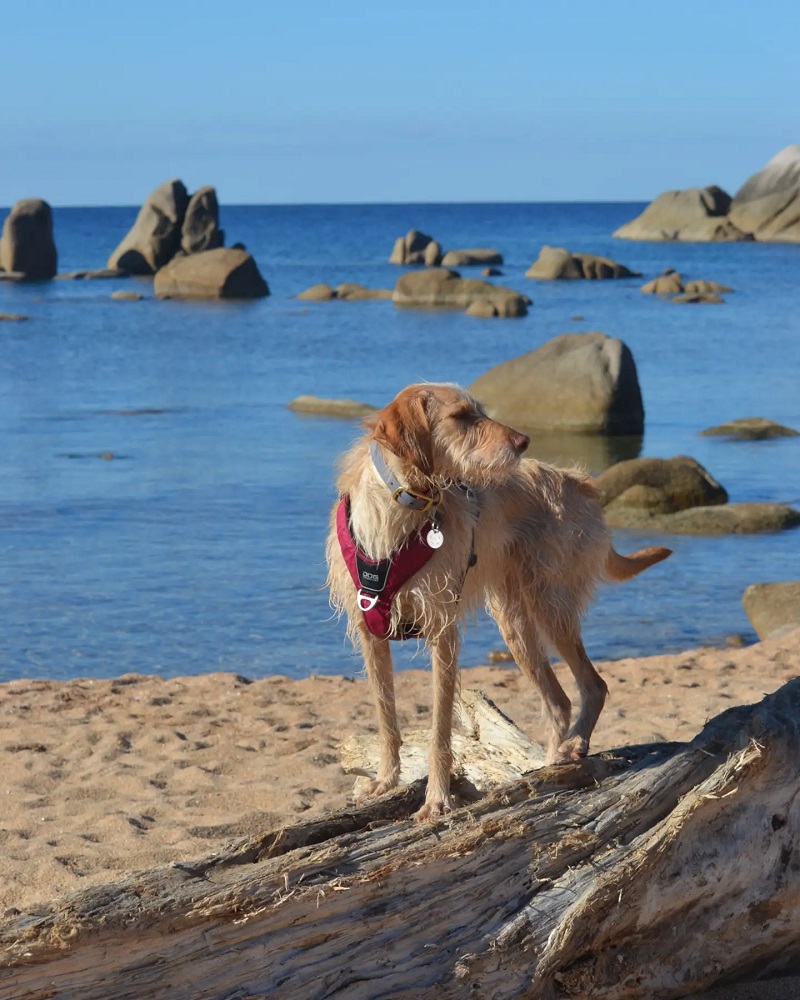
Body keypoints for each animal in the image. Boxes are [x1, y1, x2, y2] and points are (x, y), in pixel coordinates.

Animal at [324, 382, 668, 820]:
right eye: (461, 417)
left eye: (481, 412)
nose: (524, 441)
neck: (402, 502)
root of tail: (582, 485)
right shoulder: (370, 632)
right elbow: (386, 719)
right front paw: (386, 782)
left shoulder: (442, 633)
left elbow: (439, 730)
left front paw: (437, 799)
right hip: (514, 621)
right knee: (558, 701)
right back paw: (551, 760)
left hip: (549, 604)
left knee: (593, 684)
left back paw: (571, 748)